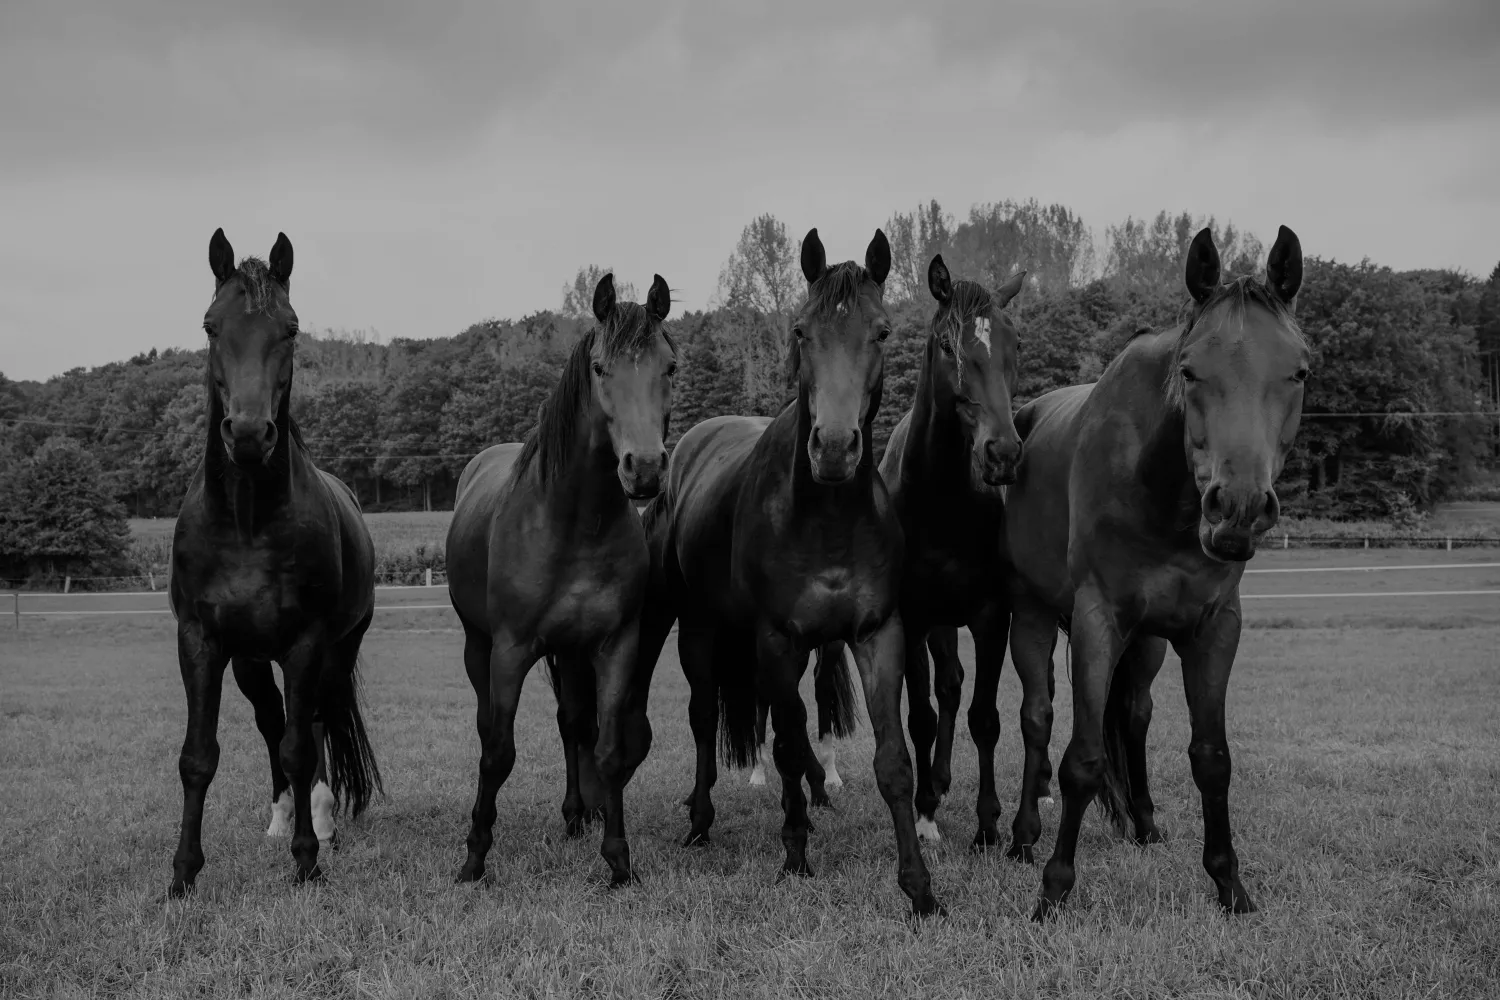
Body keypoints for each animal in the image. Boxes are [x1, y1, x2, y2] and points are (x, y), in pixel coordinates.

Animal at [168, 229, 382, 895]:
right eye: (211, 326)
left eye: (289, 329)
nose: (248, 434)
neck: (246, 522)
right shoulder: (201, 641)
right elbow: (199, 756)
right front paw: (183, 873)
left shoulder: (306, 641)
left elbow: (299, 746)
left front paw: (308, 860)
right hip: (251, 661)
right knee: (274, 720)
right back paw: (282, 817)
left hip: (335, 651)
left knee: (311, 725)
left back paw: (321, 820)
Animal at [446, 272, 676, 887]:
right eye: (599, 367)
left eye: (669, 366)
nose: (644, 470)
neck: (574, 523)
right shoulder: (510, 650)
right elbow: (498, 752)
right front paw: (474, 856)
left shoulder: (615, 645)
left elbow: (609, 750)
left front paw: (618, 859)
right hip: (481, 647)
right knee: (492, 728)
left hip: (570, 654)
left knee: (572, 723)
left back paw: (576, 815)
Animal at [636, 228, 942, 916]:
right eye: (802, 330)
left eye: (882, 331)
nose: (833, 447)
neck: (826, 518)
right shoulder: (775, 639)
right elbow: (785, 740)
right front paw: (796, 854)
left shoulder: (877, 635)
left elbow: (892, 760)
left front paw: (919, 887)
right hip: (701, 631)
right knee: (707, 719)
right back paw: (701, 820)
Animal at [877, 255, 1026, 848]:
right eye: (946, 345)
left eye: (1014, 343)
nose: (1002, 452)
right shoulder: (913, 616)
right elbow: (919, 715)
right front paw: (922, 814)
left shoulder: (991, 615)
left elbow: (985, 718)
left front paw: (988, 824)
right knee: (946, 687)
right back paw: (933, 789)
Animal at [1004, 226, 1308, 920]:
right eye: (1190, 370)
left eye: (1299, 371)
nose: (1239, 507)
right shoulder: (1096, 619)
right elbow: (1083, 757)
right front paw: (1054, 890)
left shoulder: (1214, 628)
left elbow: (1211, 757)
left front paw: (1229, 885)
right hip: (1032, 614)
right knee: (1039, 716)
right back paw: (1022, 838)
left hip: (1144, 643)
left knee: (1135, 713)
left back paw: (1140, 822)